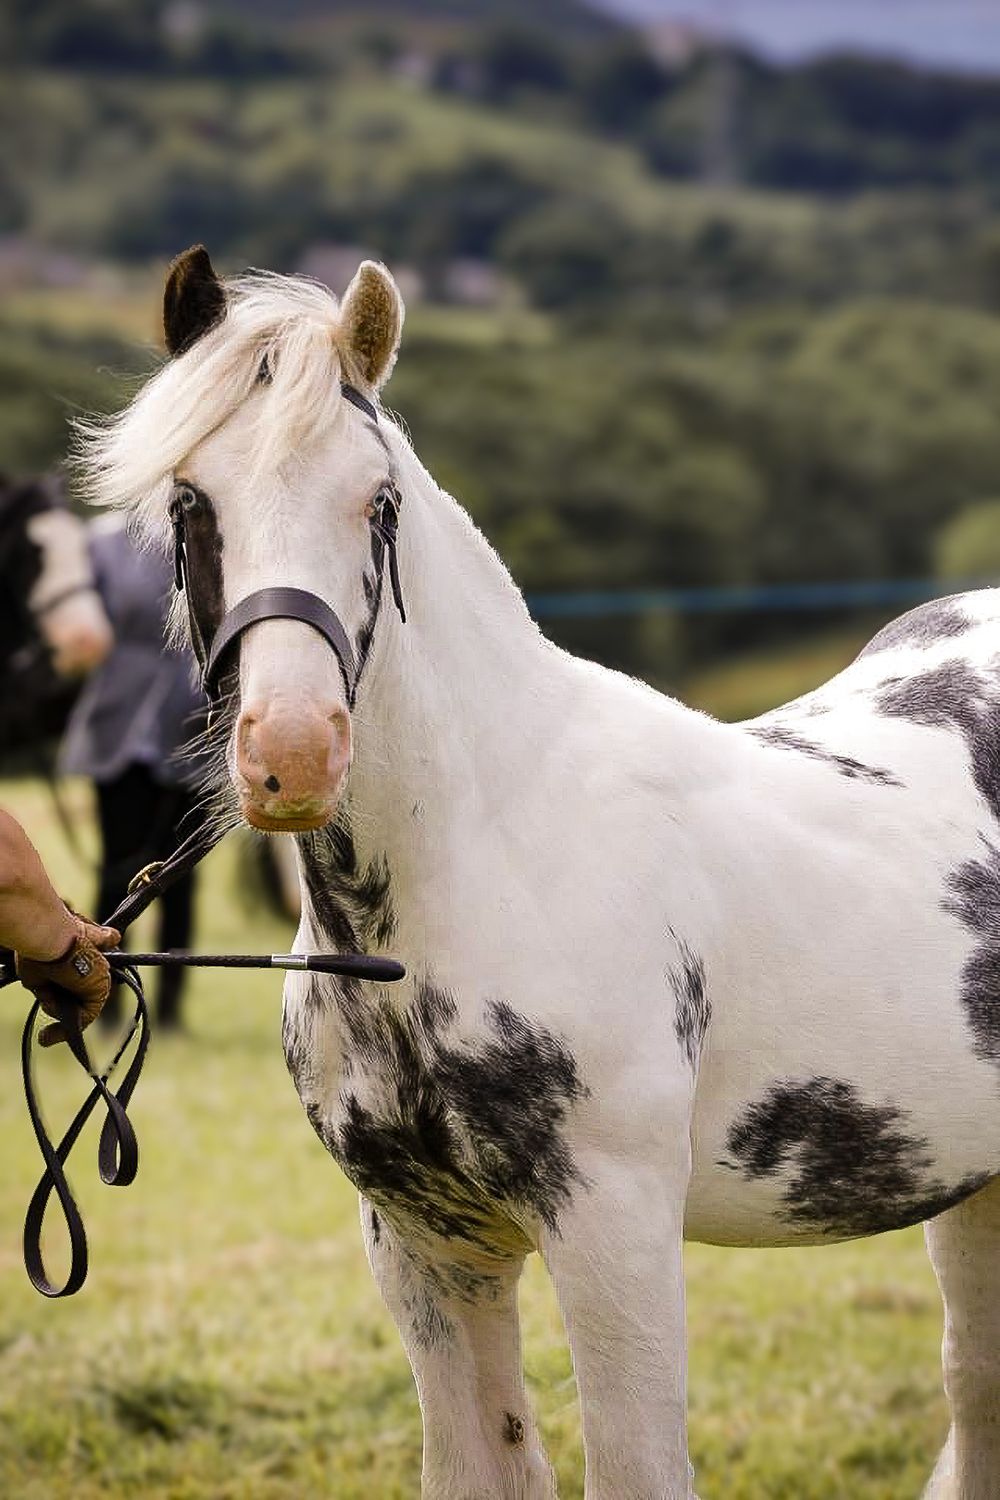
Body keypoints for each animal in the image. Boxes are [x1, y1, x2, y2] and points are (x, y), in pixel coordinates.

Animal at [75, 243, 1000, 1500]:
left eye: (378, 502)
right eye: (188, 503)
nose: (294, 753)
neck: (476, 869)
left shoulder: (614, 1231)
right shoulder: (425, 1246)